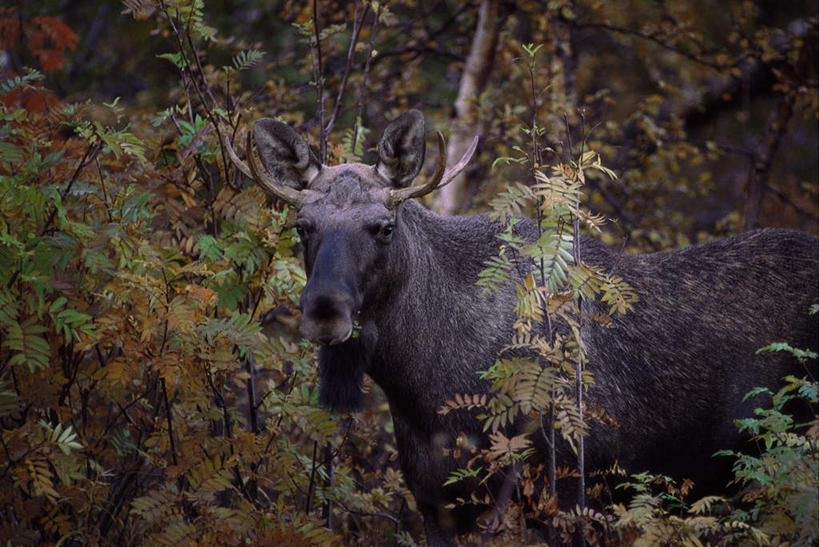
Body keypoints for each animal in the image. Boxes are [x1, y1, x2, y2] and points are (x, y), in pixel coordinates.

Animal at [224, 110, 819, 544]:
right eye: (303, 226)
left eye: (384, 227)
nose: (325, 310)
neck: (421, 389)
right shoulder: (435, 504)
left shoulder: (572, 492)